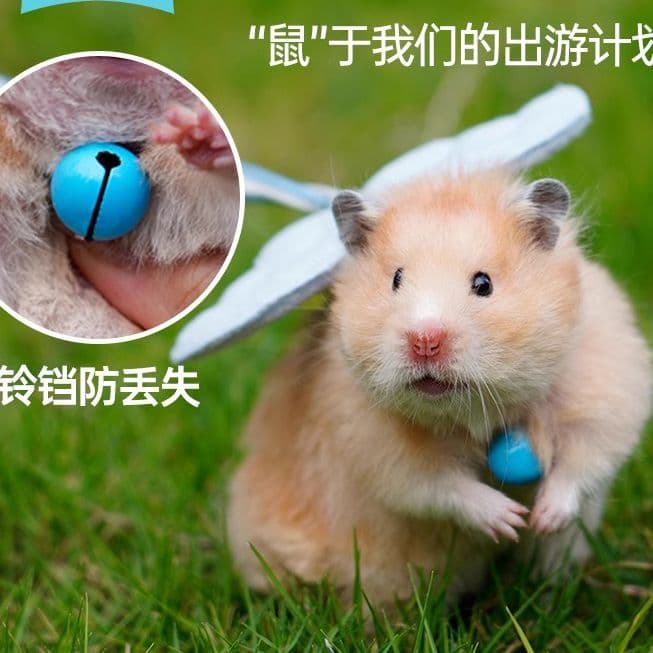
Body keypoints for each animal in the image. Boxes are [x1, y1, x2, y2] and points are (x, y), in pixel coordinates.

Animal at [227, 171, 651, 606]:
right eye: (396, 280)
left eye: (483, 284)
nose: (425, 341)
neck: (475, 410)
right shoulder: (380, 447)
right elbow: (439, 486)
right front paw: (508, 520)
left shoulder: (605, 392)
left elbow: (583, 462)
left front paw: (542, 519)